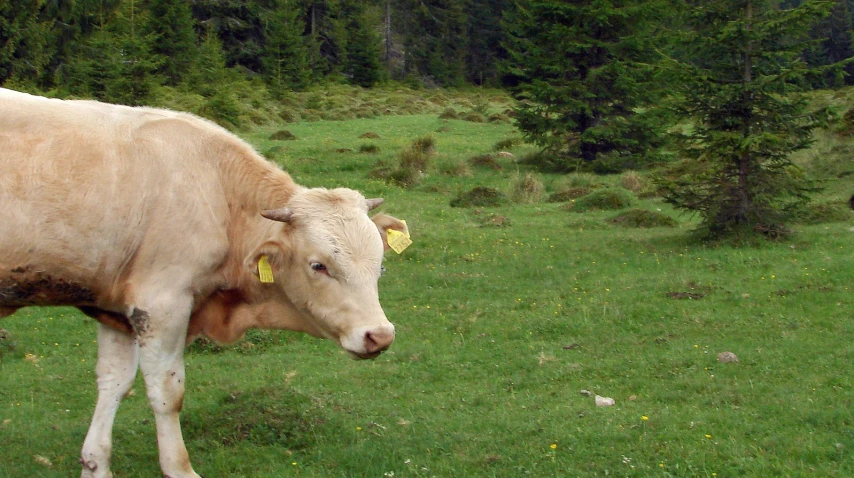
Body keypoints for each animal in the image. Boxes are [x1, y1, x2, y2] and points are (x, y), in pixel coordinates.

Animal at [0, 88, 412, 476]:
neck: (217, 192)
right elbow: (168, 392)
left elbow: (114, 382)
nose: (379, 336)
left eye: (380, 267)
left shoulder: (115, 309)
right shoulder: (162, 302)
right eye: (319, 266)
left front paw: (95, 462)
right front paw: (178, 467)